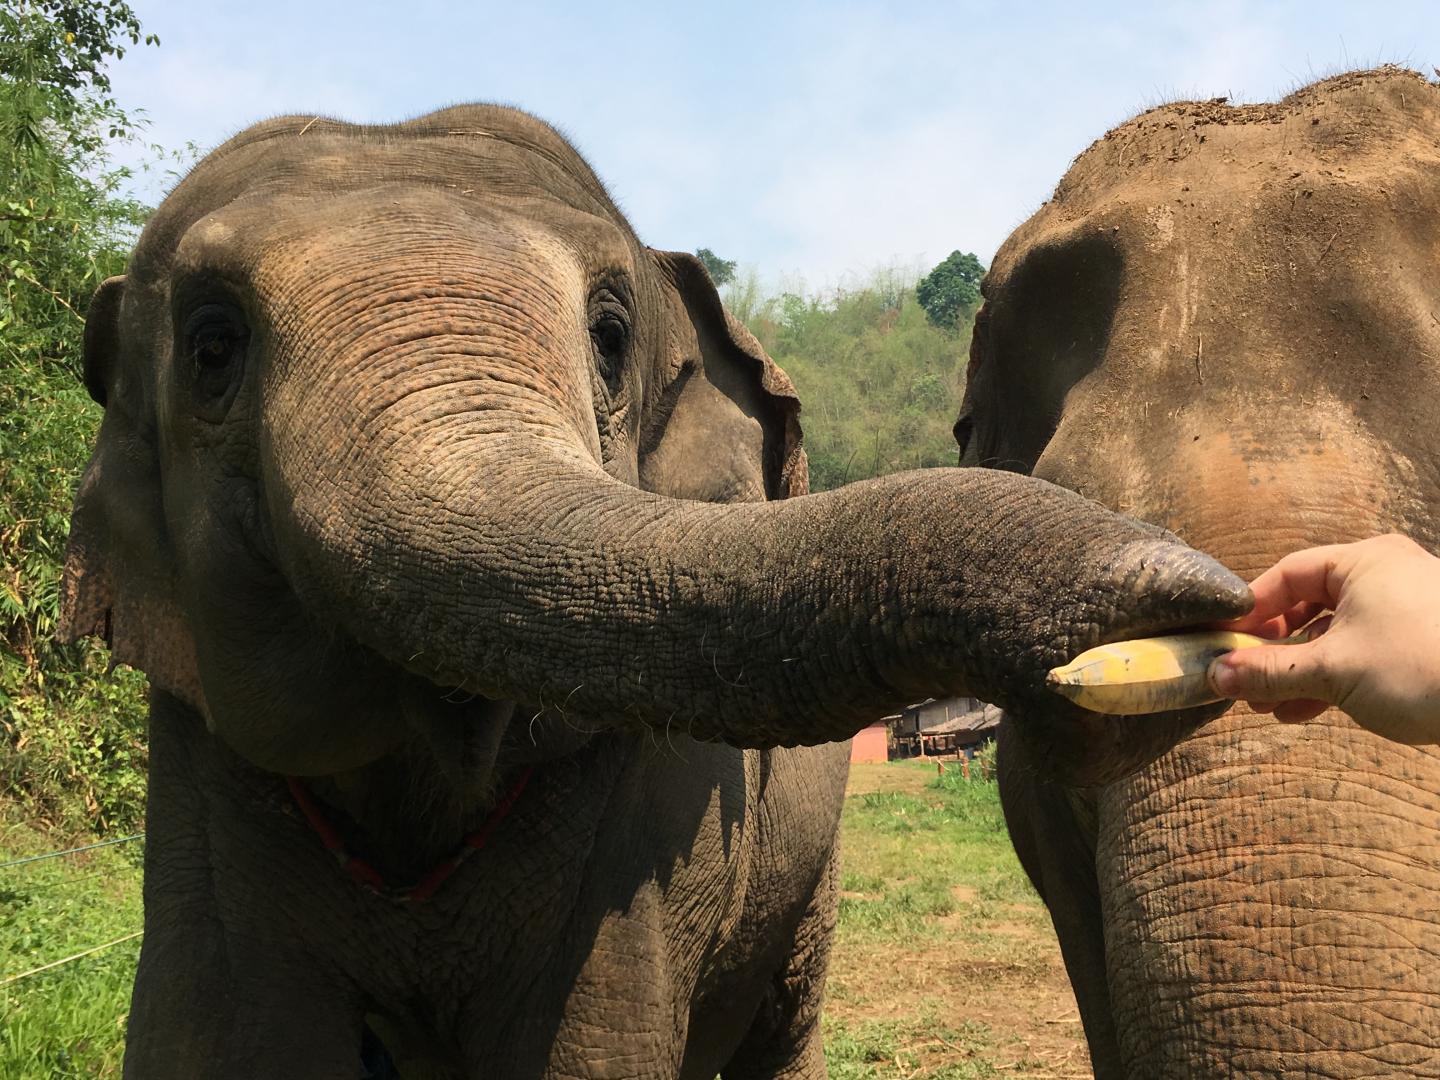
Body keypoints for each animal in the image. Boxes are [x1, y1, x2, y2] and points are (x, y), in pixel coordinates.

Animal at [59, 104, 1249, 1079]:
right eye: (212, 347)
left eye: (610, 337)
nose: (1226, 602)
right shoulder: (201, 752)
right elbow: (221, 1038)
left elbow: (585, 1046)